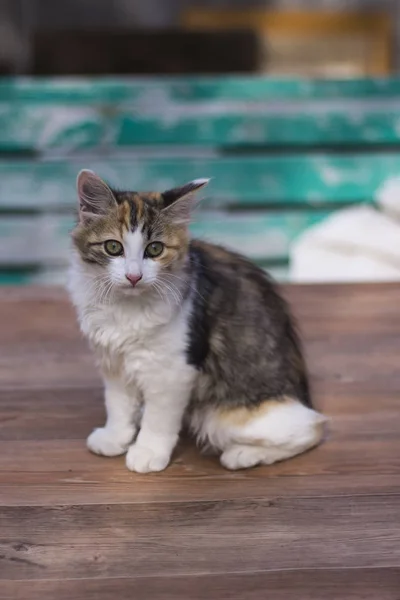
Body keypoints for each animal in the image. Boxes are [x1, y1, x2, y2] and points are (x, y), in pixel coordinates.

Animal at [68, 169, 324, 474]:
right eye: (113, 247)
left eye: (155, 249)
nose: (134, 276)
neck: (126, 306)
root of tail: (302, 394)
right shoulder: (114, 363)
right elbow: (118, 405)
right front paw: (115, 438)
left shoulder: (173, 370)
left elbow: (158, 419)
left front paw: (147, 452)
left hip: (224, 416)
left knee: (312, 429)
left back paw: (242, 455)